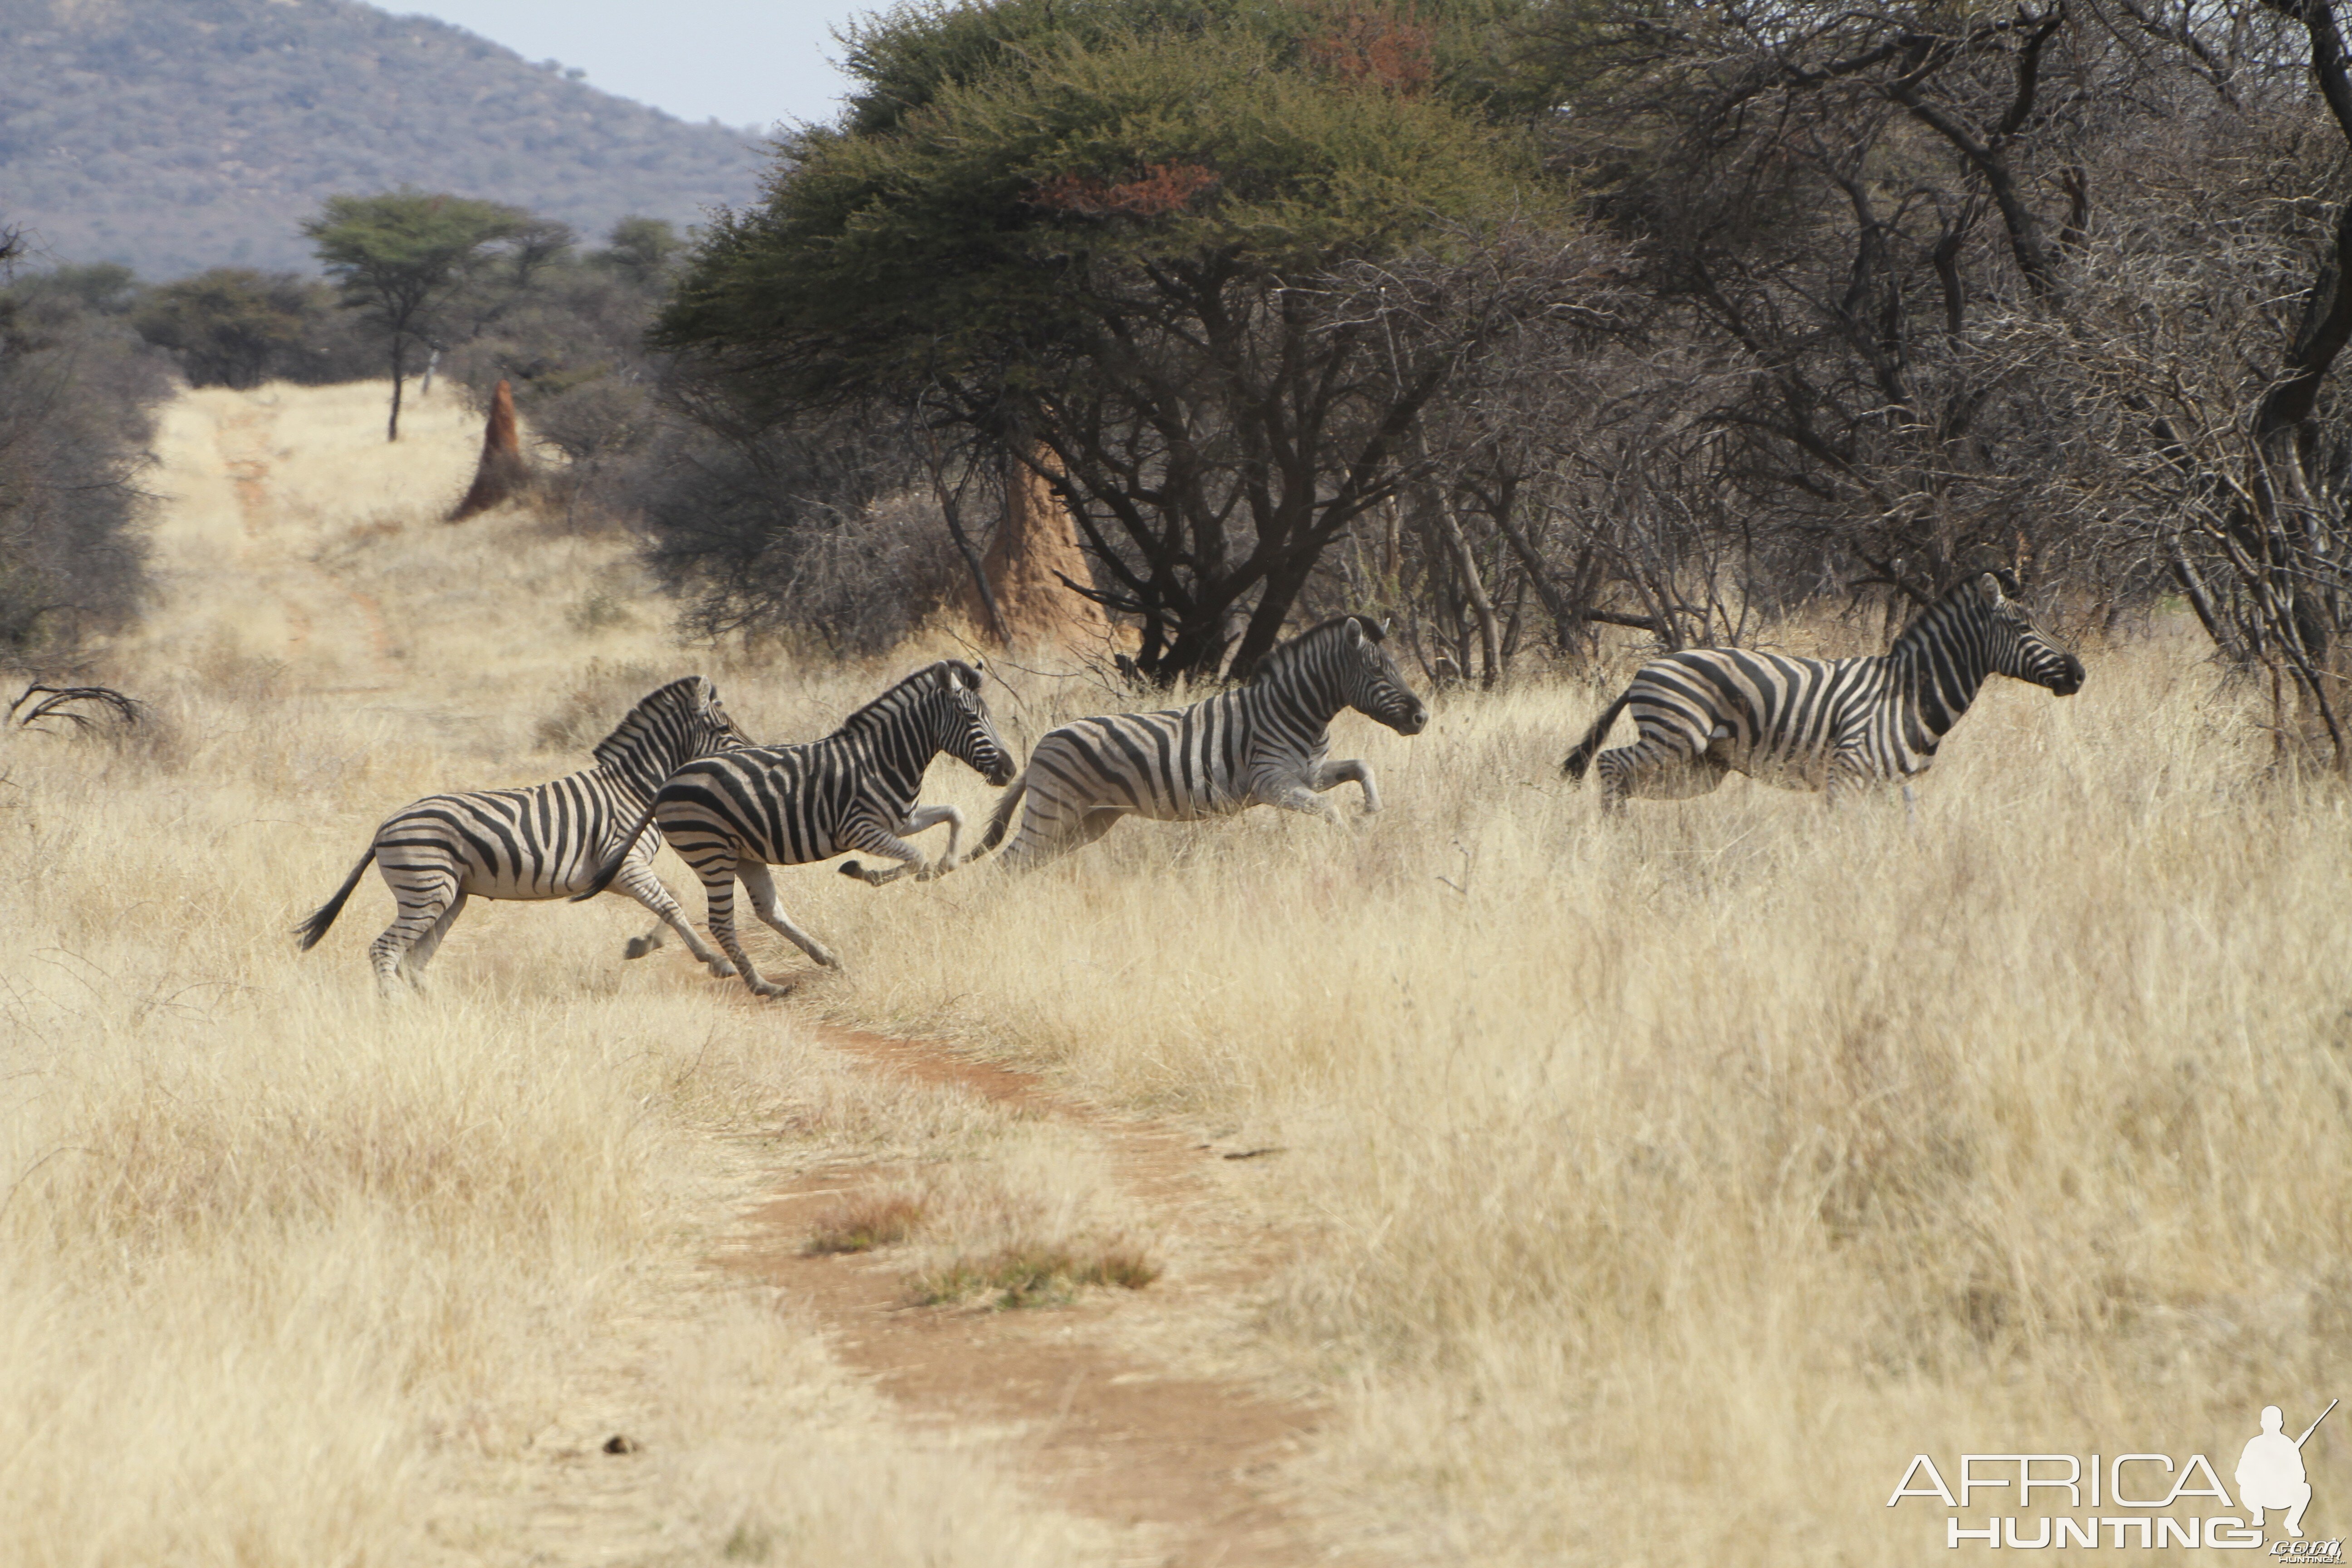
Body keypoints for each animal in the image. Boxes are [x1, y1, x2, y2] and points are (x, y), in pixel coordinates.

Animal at [296, 677, 752, 992]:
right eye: (725, 729)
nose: (753, 753)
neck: (634, 788)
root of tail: (383, 828)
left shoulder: (620, 873)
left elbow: (673, 899)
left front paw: (642, 944)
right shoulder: (624, 867)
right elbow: (673, 905)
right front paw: (716, 961)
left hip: (450, 896)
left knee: (413, 960)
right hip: (427, 890)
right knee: (386, 950)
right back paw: (397, 1011)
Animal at [573, 658, 1016, 1001]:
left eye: (989, 717)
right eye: (972, 718)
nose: (1010, 770)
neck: (884, 758)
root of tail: (668, 781)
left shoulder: (901, 820)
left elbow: (955, 816)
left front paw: (945, 866)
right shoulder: (861, 829)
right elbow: (916, 859)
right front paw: (868, 872)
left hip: (742, 853)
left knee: (768, 910)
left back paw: (824, 957)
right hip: (710, 852)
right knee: (722, 923)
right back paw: (763, 986)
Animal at [955, 611, 1430, 879]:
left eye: (1394, 668)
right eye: (1378, 672)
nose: (1422, 717)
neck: (1297, 710)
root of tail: (1040, 747)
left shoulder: (1309, 772)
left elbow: (1362, 767)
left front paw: (1370, 812)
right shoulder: (1272, 782)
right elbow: (1329, 809)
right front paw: (1352, 842)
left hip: (1088, 820)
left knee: (1024, 866)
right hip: (1054, 811)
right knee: (1007, 866)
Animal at [1562, 571, 2079, 808]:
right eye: (2022, 626)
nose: (2079, 673)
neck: (1908, 693)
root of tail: (1644, 670)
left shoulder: (1894, 785)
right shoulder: (1846, 774)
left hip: (1700, 767)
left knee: (1625, 778)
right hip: (1675, 738)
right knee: (1610, 764)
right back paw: (1614, 837)